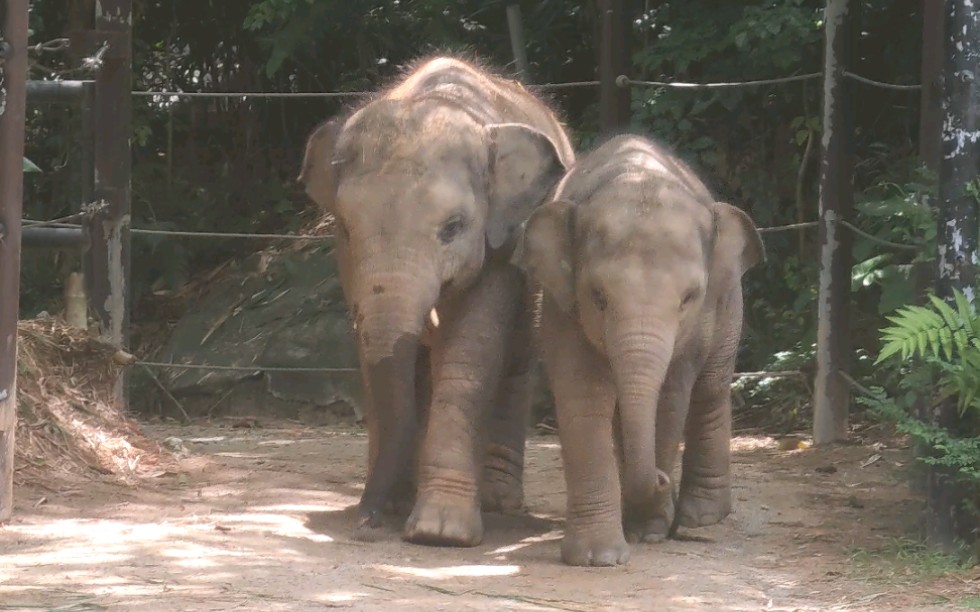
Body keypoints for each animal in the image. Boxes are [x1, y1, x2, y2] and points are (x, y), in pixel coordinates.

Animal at [296, 57, 576, 544]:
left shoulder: (501, 244)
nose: (364, 524)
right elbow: (377, 358)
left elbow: (470, 354)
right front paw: (393, 508)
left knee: (517, 364)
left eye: (454, 227)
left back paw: (498, 501)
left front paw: (439, 531)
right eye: (346, 228)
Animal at [512, 133, 764, 564]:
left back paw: (701, 517)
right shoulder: (562, 308)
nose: (663, 480)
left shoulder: (697, 325)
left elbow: (670, 399)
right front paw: (599, 557)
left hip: (731, 301)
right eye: (598, 297)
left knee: (711, 387)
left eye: (688, 298)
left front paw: (648, 532)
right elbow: (583, 394)